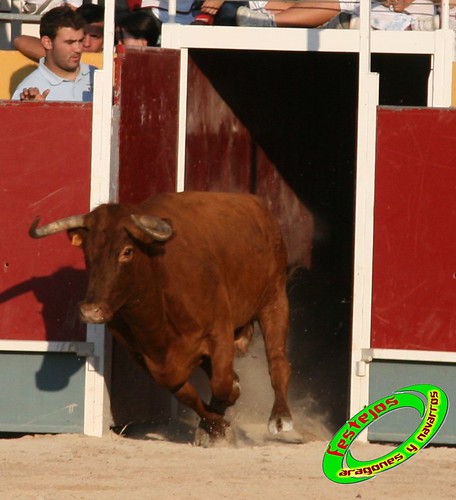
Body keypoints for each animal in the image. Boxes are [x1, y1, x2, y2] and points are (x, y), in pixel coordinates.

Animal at [31, 191, 296, 442]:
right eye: (87, 253)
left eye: (127, 251)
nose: (91, 311)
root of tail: (258, 207)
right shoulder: (145, 356)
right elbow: (186, 393)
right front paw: (215, 426)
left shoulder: (219, 331)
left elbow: (222, 384)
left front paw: (225, 408)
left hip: (274, 299)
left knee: (277, 360)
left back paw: (282, 419)